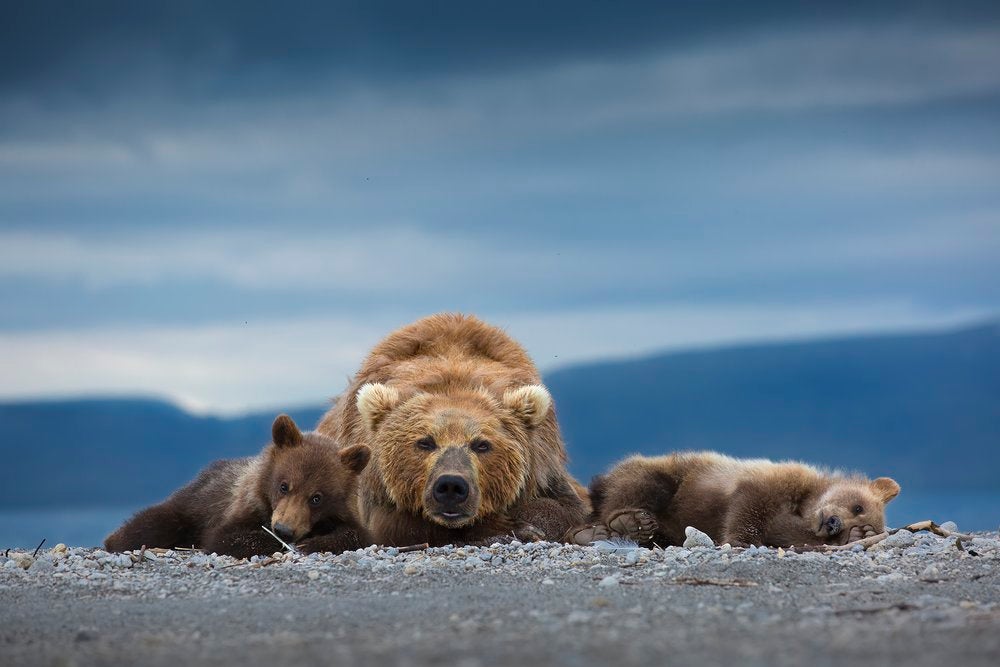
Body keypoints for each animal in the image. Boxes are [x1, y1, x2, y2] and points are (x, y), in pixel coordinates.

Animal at [316, 314, 588, 548]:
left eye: (481, 444)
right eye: (425, 442)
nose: (451, 486)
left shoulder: (544, 465)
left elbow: (563, 509)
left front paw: (527, 525)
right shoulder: (372, 484)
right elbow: (394, 524)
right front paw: (505, 529)